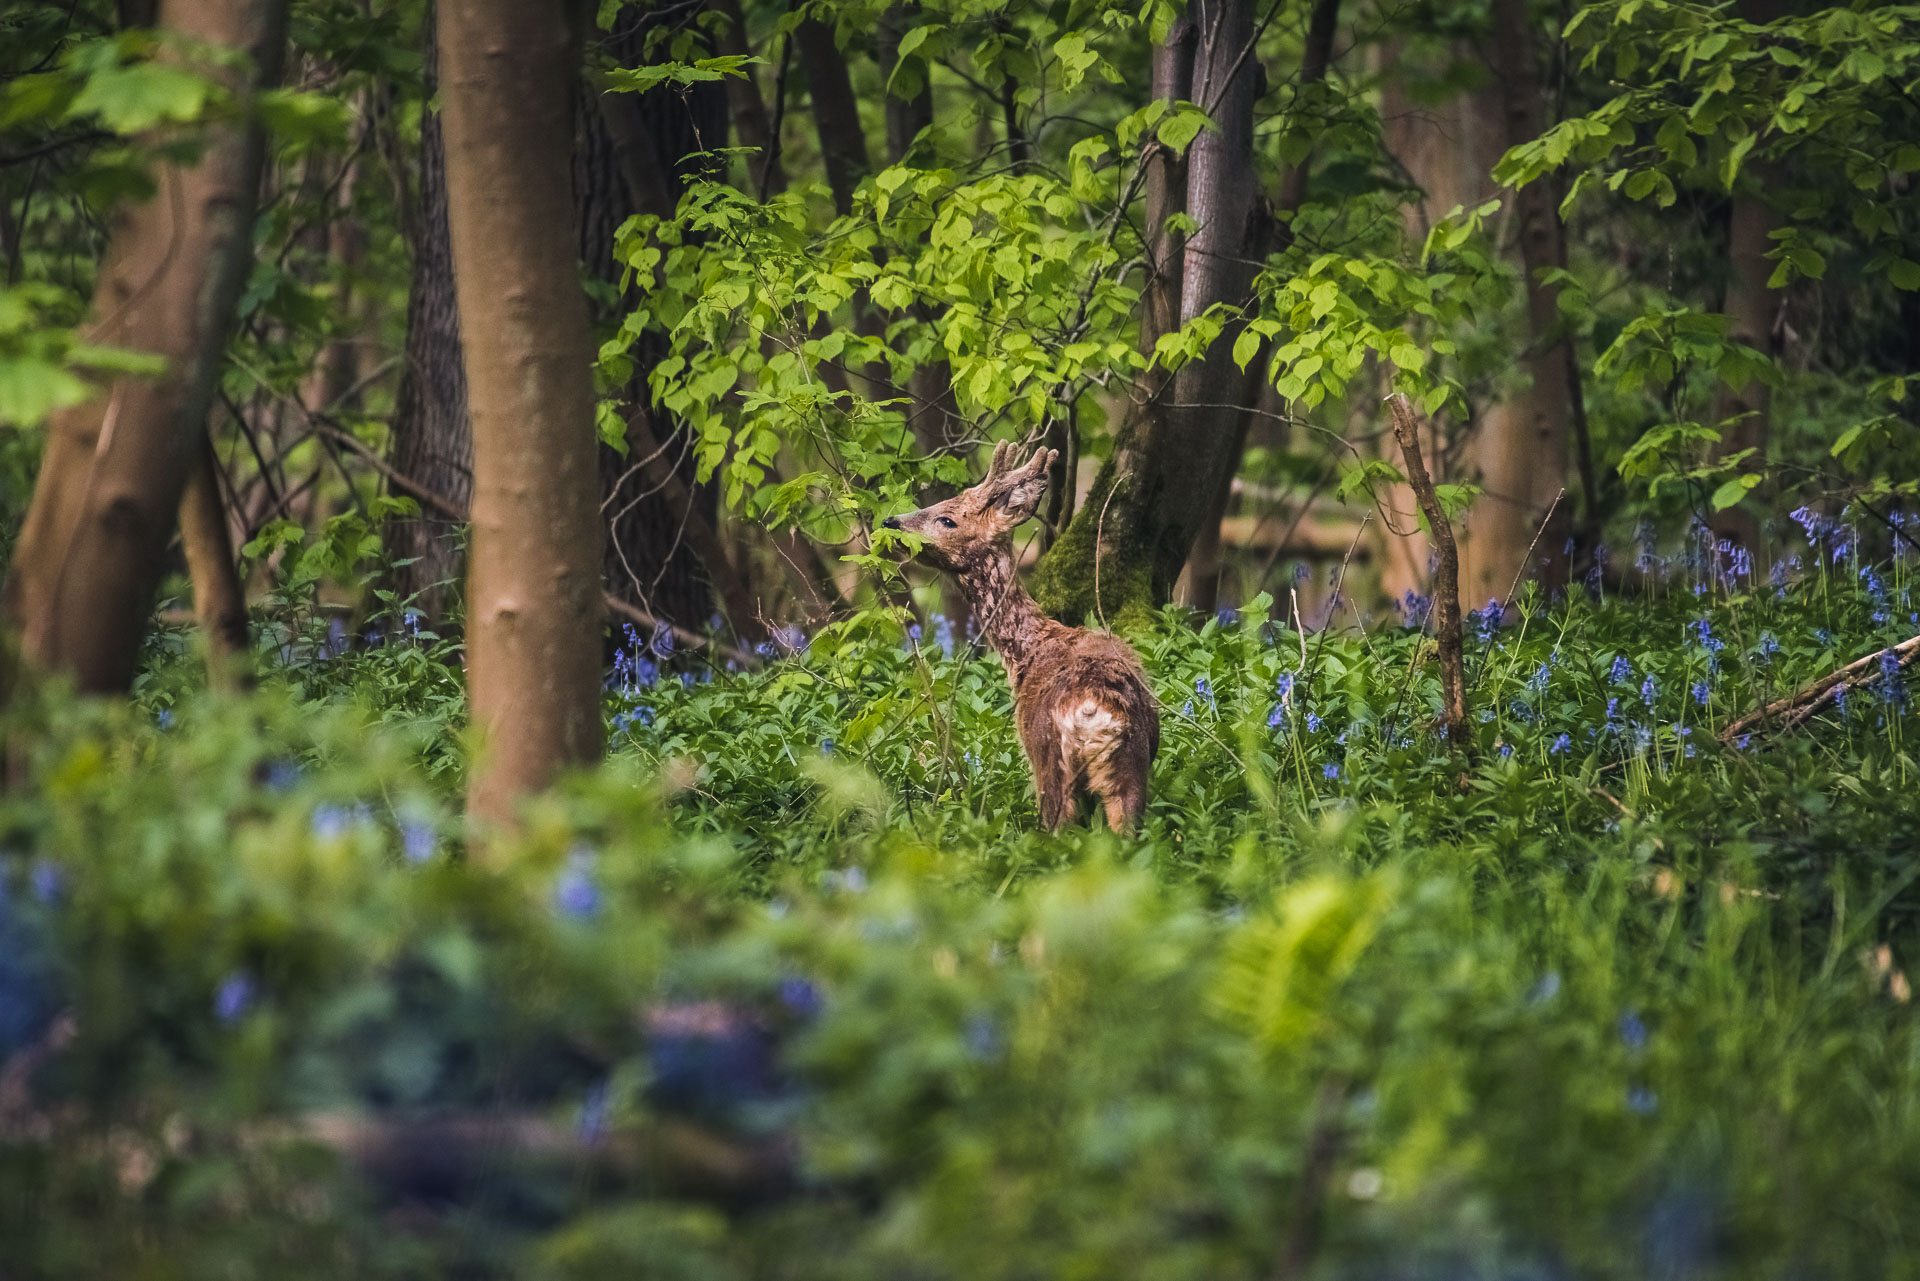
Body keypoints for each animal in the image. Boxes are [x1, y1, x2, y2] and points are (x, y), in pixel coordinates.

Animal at [879, 445, 1152, 837]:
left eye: (947, 520)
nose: (891, 522)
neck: (1030, 648)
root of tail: (1093, 712)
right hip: (1131, 769)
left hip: (1050, 765)